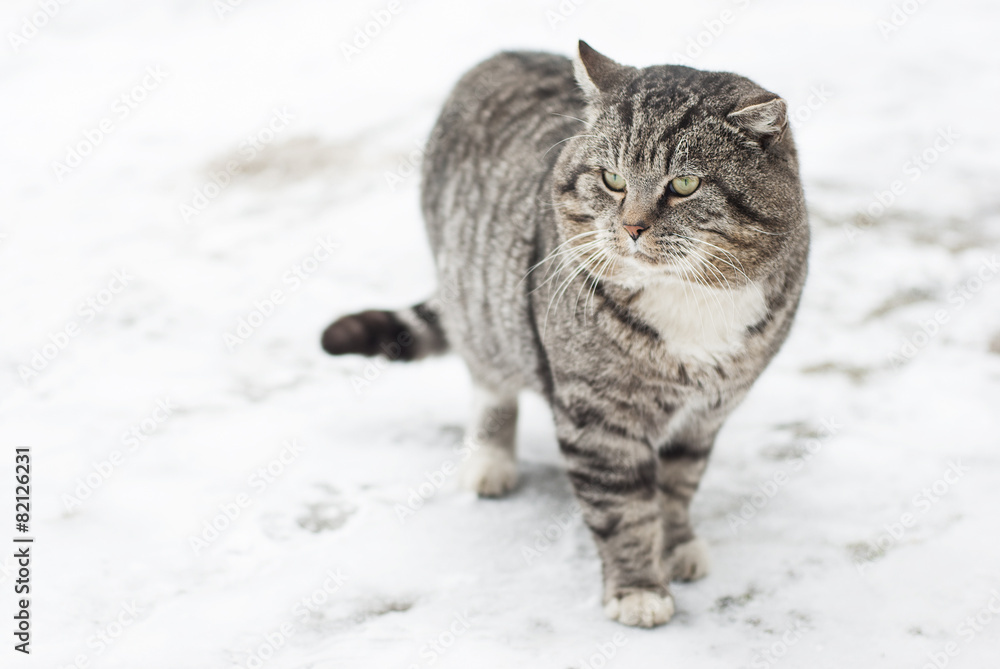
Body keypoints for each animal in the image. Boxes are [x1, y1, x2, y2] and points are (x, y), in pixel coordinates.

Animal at [324, 41, 808, 628]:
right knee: (488, 381)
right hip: (479, 301)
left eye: (685, 185)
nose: (632, 227)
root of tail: (501, 54)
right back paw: (489, 462)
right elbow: (623, 508)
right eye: (612, 180)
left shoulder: (707, 413)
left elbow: (677, 487)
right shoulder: (596, 416)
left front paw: (676, 544)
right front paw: (639, 587)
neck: (687, 296)